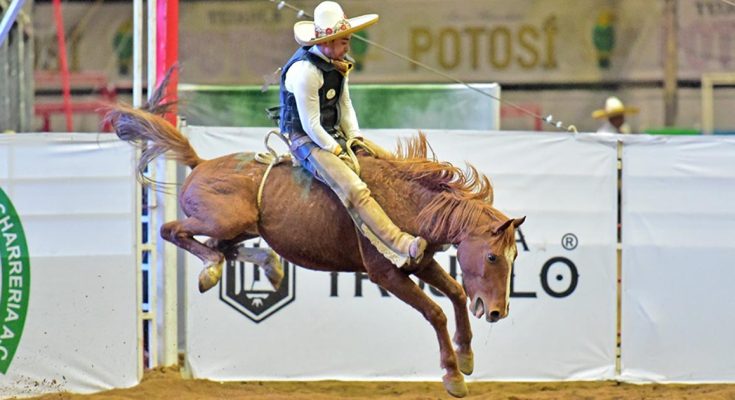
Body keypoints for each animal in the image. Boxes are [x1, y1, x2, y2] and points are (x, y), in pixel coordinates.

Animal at [106, 95, 528, 398]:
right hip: (219, 220)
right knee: (173, 230)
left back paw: (266, 265)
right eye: (492, 255)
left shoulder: (420, 263)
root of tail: (201, 163)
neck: (408, 201)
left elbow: (456, 292)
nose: (497, 311)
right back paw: (212, 271)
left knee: (220, 246)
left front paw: (467, 356)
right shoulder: (386, 273)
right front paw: (453, 376)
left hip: (242, 227)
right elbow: (436, 312)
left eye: (513, 256)